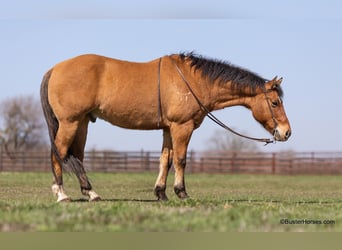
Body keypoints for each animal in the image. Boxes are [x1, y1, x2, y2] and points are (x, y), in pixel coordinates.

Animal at [40, 52, 292, 201]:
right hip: (70, 123)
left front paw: (160, 193)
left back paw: (90, 192)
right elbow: (180, 160)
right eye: (275, 102)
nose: (286, 132)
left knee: (76, 156)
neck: (194, 80)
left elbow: (165, 160)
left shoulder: (169, 129)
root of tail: (54, 69)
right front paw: (181, 192)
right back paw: (61, 193)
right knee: (57, 153)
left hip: (81, 123)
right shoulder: (182, 127)